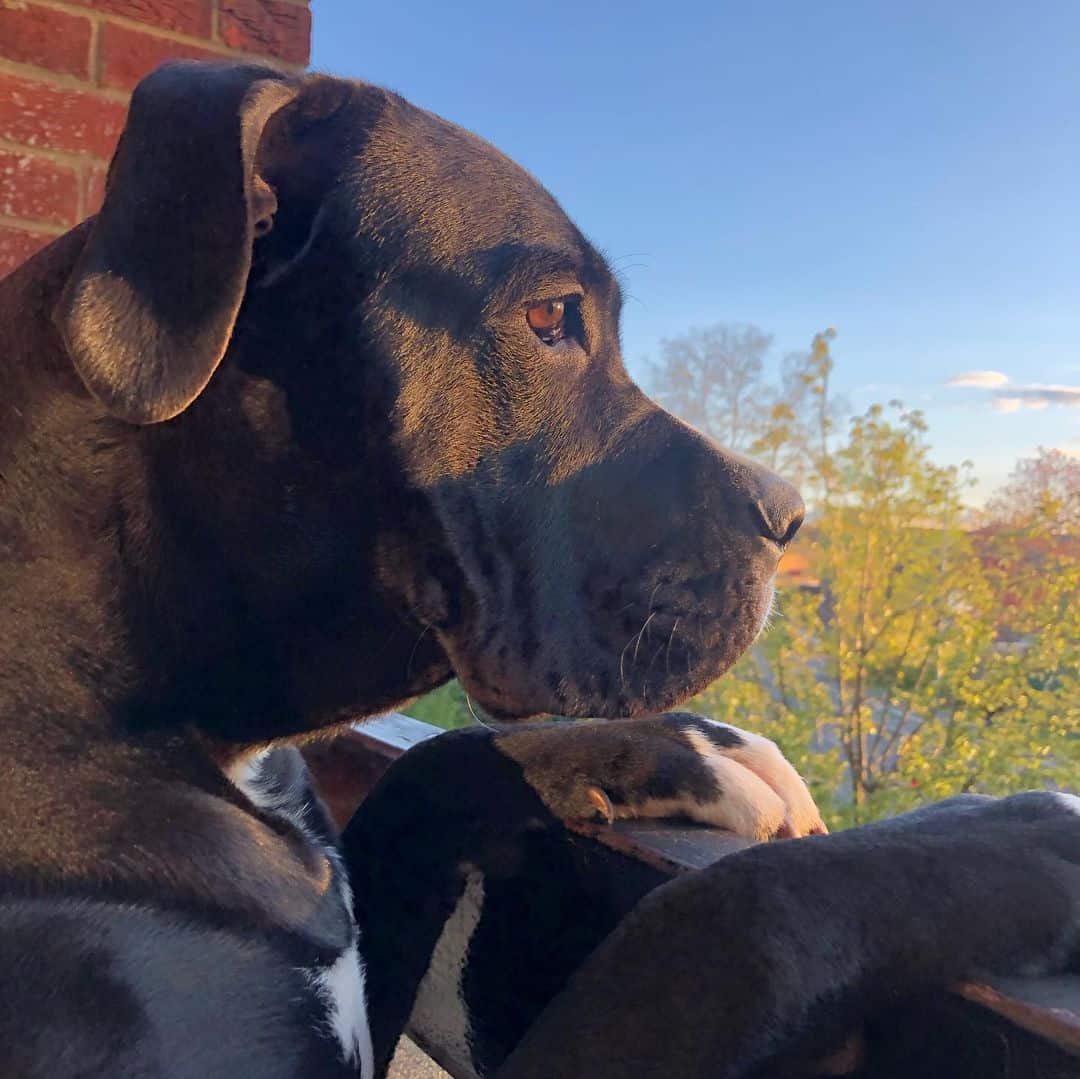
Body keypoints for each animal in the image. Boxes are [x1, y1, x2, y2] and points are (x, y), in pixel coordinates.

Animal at [0, 61, 1075, 1079]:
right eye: (552, 315)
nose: (791, 514)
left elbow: (439, 759)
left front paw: (696, 747)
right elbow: (730, 914)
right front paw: (1004, 838)